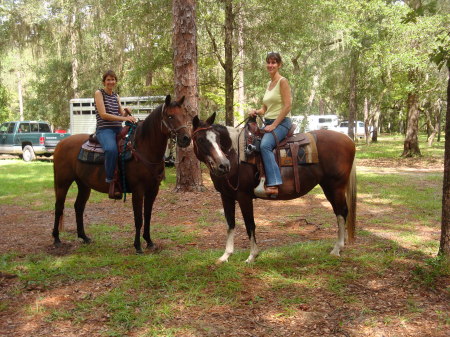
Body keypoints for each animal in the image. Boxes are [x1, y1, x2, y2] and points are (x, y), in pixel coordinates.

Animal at [52, 94, 190, 252]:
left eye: (184, 115)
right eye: (170, 116)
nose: (186, 138)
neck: (143, 149)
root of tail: (61, 144)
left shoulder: (153, 189)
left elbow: (148, 216)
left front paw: (149, 241)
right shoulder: (138, 190)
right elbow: (138, 218)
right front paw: (138, 246)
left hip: (84, 185)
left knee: (78, 207)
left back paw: (84, 237)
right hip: (62, 183)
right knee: (59, 207)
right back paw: (56, 239)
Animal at [190, 113, 356, 262]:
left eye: (218, 139)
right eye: (200, 139)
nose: (223, 165)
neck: (235, 155)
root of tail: (348, 139)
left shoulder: (244, 196)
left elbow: (250, 224)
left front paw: (252, 256)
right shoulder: (226, 196)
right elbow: (230, 223)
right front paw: (226, 255)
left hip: (335, 186)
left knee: (341, 212)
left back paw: (337, 249)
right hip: (328, 187)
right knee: (340, 212)